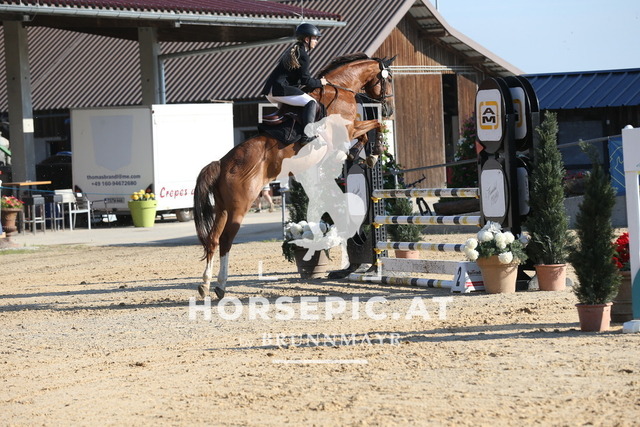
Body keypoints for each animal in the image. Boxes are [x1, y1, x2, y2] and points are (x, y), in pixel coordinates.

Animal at [194, 53, 395, 299]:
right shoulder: (348, 130)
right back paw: (221, 286)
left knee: (213, 240)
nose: (388, 109)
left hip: (221, 208)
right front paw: (372, 153)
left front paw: (360, 154)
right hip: (239, 207)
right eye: (388, 79)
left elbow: (367, 131)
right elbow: (372, 128)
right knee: (225, 241)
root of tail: (222, 164)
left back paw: (205, 285)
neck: (341, 88)